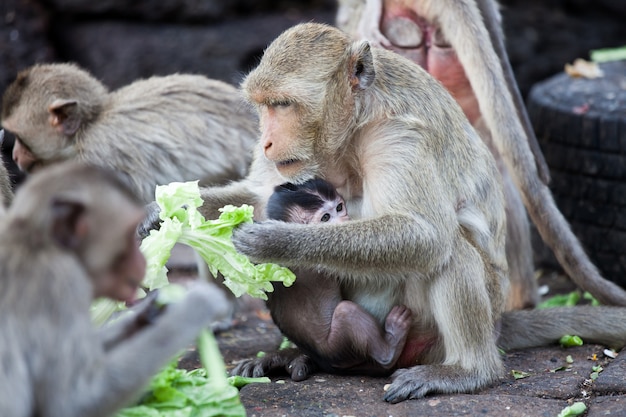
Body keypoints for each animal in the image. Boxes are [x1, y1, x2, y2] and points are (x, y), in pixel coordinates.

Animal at [0, 163, 228, 416]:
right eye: (126, 236)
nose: (140, 262)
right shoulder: (61, 284)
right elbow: (73, 402)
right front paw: (198, 304)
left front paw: (153, 310)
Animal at [260, 177, 412, 376]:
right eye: (325, 217)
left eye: (339, 208)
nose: (345, 219)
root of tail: (326, 363)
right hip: (338, 349)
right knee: (346, 312)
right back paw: (390, 346)